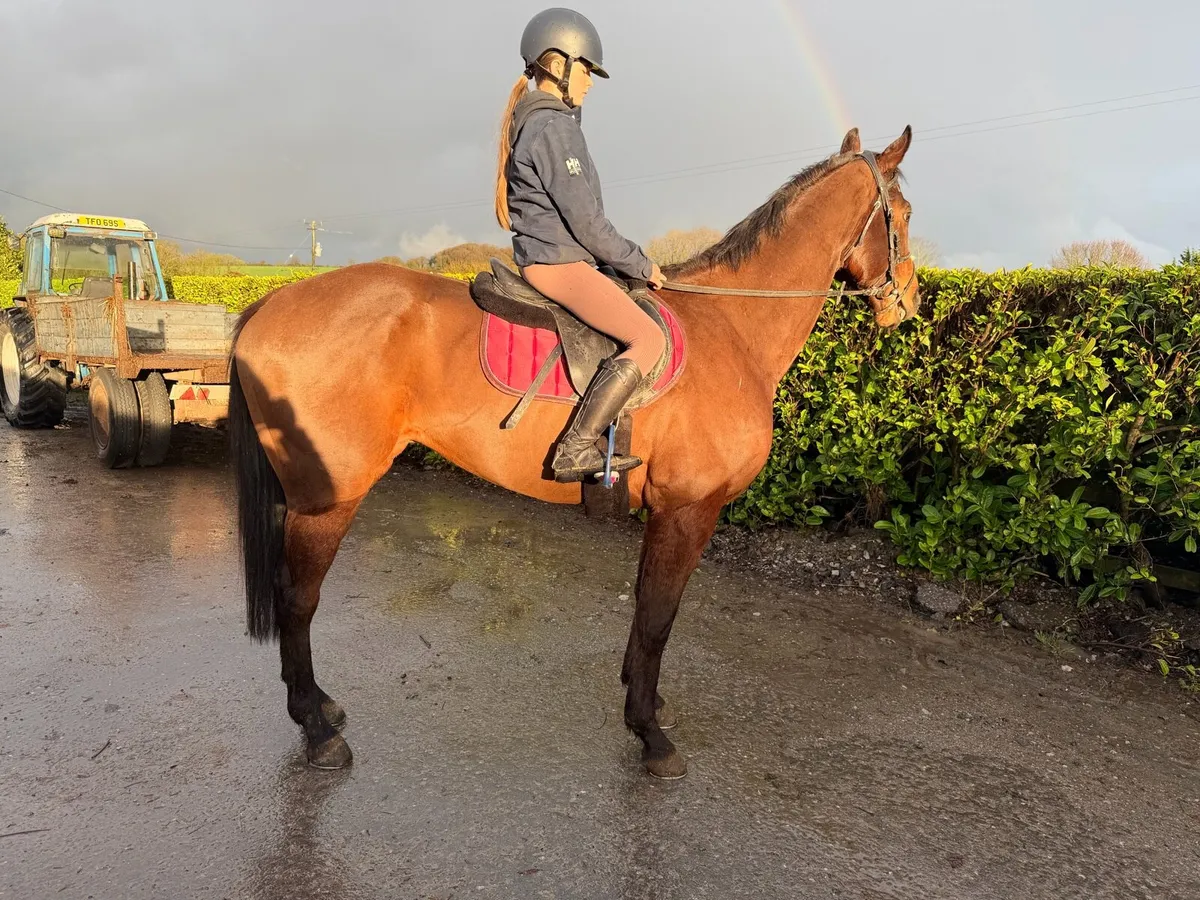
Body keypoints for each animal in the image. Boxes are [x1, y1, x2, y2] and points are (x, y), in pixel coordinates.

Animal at [228, 126, 920, 778]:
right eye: (905, 212)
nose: (909, 303)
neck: (731, 329)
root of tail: (269, 303)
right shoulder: (687, 511)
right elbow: (660, 613)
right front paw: (650, 734)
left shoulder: (666, 513)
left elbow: (645, 606)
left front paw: (645, 701)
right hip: (327, 499)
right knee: (298, 600)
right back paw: (316, 729)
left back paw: (320, 706)